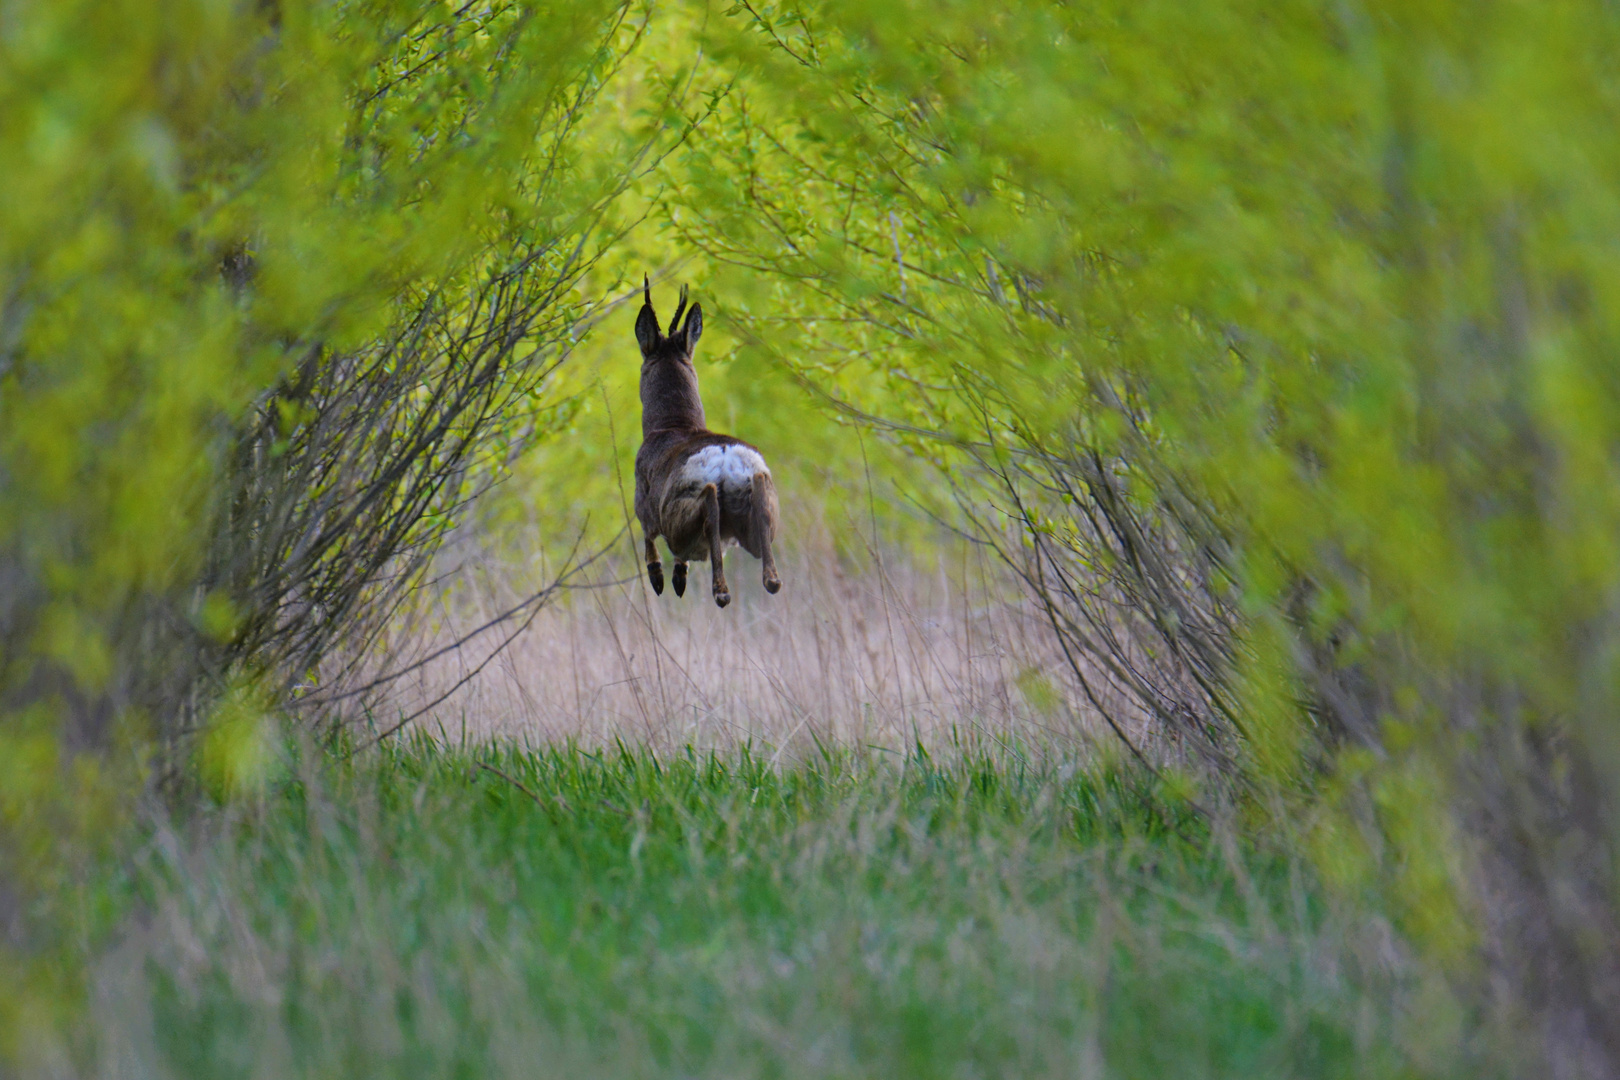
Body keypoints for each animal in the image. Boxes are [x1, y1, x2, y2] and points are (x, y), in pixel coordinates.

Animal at [635, 278, 780, 608]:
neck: (674, 424)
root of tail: (725, 456)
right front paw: (677, 577)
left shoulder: (641, 497)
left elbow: (647, 537)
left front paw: (660, 578)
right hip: (756, 513)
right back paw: (768, 580)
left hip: (677, 514)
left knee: (708, 507)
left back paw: (719, 591)